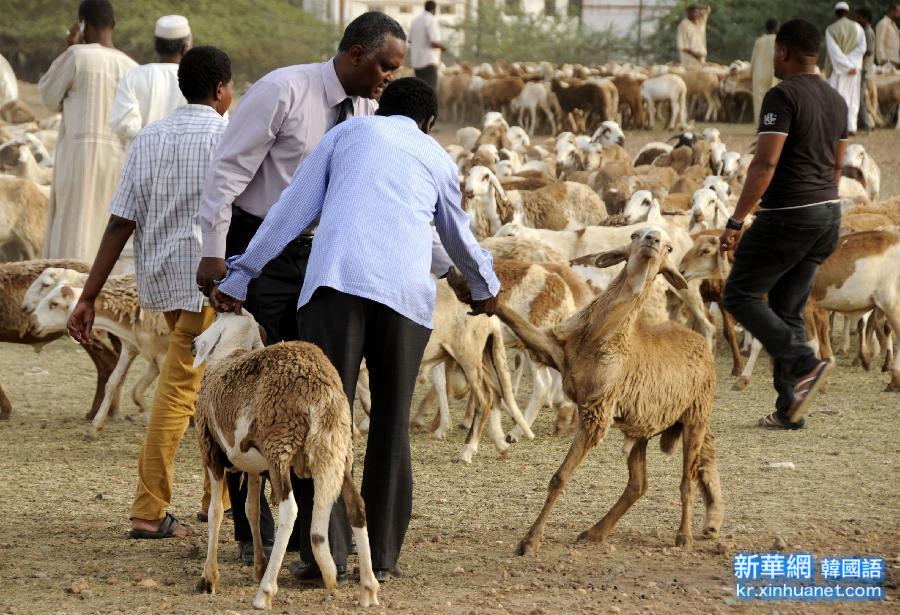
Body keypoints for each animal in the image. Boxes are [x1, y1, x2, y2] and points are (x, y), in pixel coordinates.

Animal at [193, 312, 380, 612]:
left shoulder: (211, 453)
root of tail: (321, 390)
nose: (192, 344)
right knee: (357, 506)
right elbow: (251, 509)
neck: (230, 352)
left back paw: (265, 592)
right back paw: (368, 589)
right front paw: (258, 565)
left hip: (280, 446)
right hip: (338, 448)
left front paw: (208, 578)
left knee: (289, 510)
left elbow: (216, 513)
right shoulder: (255, 467)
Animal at [492, 226, 724, 552]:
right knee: (639, 484)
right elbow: (515, 320)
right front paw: (470, 290)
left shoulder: (596, 412)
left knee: (686, 479)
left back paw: (684, 535)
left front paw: (530, 540)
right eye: (635, 234)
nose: (652, 241)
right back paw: (596, 531)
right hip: (643, 424)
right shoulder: (552, 348)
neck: (601, 337)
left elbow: (559, 478)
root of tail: (698, 340)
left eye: (668, 247)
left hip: (695, 415)